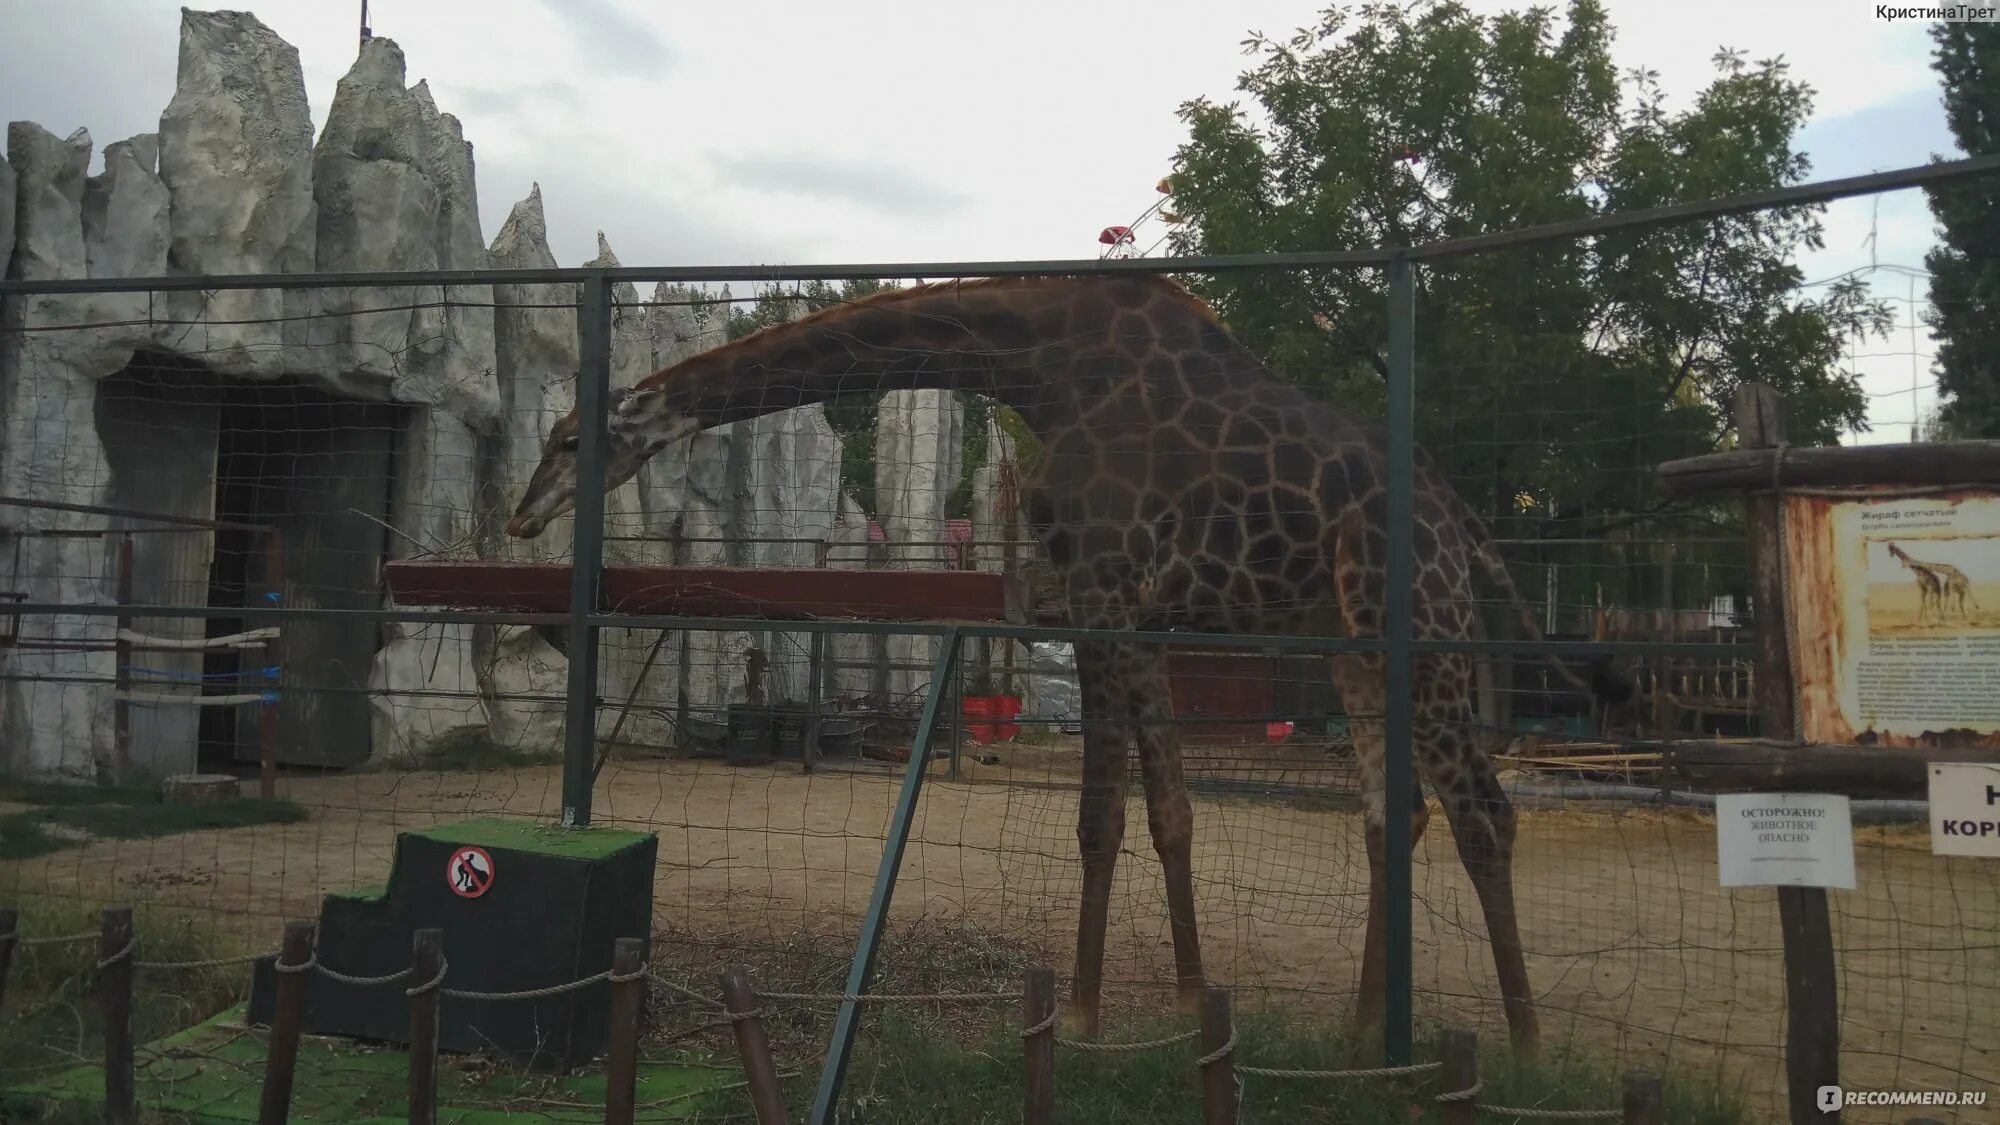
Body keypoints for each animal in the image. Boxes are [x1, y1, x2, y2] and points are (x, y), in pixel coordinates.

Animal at [500, 274, 1624, 1048]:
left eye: (570, 439)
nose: (519, 514)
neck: (1039, 369)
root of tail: (1465, 522)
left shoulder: (1100, 592)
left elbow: (1101, 817)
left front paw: (1078, 1016)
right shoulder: (1131, 607)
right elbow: (1170, 810)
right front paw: (1188, 998)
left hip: (1421, 617)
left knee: (1485, 813)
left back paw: (1522, 1051)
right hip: (1352, 635)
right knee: (1395, 813)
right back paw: (1358, 1040)